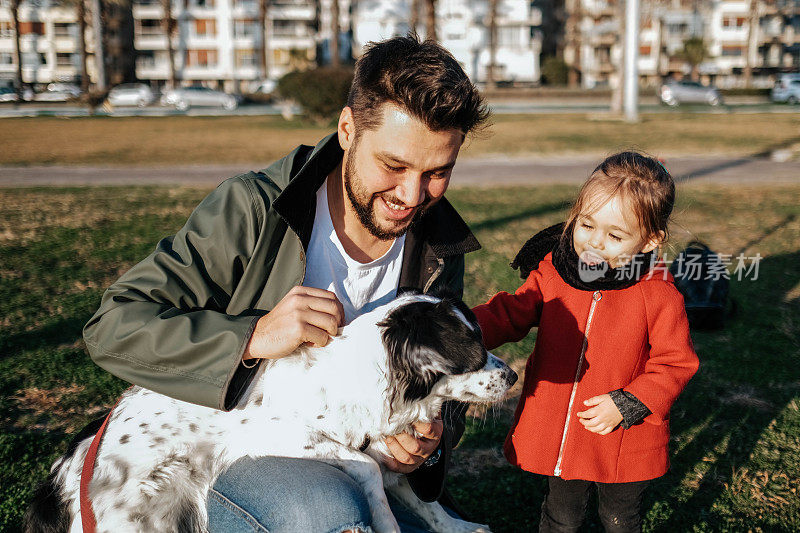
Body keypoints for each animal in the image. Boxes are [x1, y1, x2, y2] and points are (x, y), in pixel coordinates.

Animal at [25, 294, 520, 528]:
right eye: (475, 351)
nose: (514, 376)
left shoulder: (387, 448)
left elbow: (418, 496)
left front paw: (459, 527)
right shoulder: (282, 436)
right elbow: (368, 472)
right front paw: (385, 521)